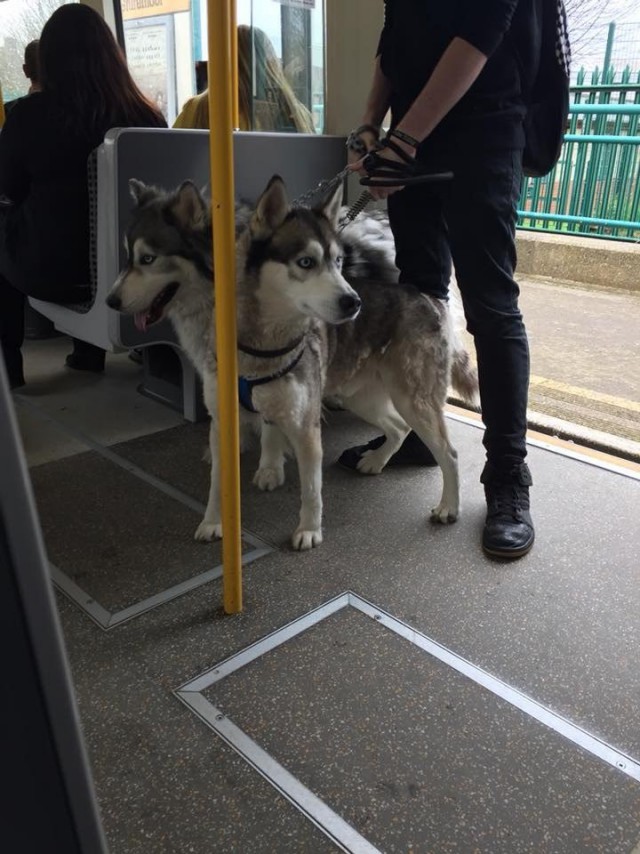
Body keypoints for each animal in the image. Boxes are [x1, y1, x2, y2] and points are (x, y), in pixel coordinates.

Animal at [106, 178, 476, 552]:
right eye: (306, 262)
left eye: (338, 261)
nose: (110, 300)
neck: (258, 346)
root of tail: (429, 298)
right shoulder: (225, 416)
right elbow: (219, 481)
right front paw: (214, 521)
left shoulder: (304, 424)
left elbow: (311, 488)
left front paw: (308, 529)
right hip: (360, 397)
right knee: (398, 428)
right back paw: (374, 461)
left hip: (412, 400)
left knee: (450, 453)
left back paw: (448, 506)